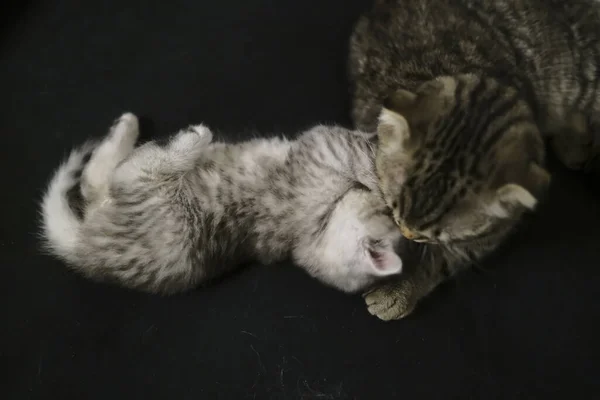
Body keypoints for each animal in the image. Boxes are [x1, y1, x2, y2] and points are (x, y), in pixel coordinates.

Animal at [41, 112, 404, 294]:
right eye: (388, 216)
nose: (394, 212)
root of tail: (88, 254)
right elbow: (365, 145)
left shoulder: (324, 146)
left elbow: (362, 151)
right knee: (96, 183)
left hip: (157, 202)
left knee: (115, 173)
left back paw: (177, 136)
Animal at [344, 0, 600, 318]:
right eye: (393, 208)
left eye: (430, 234)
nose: (406, 232)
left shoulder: (491, 232)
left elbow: (440, 258)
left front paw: (399, 288)